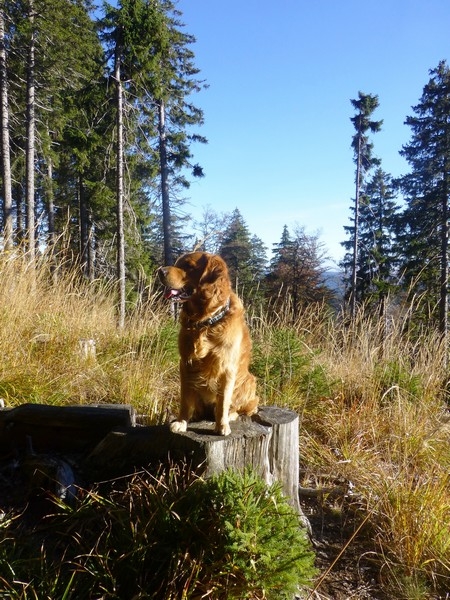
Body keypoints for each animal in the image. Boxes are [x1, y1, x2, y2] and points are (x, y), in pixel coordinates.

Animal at [158, 251, 258, 434]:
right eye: (177, 263)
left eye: (189, 266)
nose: (160, 271)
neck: (205, 322)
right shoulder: (186, 364)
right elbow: (185, 399)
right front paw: (182, 422)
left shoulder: (227, 368)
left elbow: (223, 401)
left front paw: (222, 425)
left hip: (249, 381)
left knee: (241, 408)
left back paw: (230, 416)